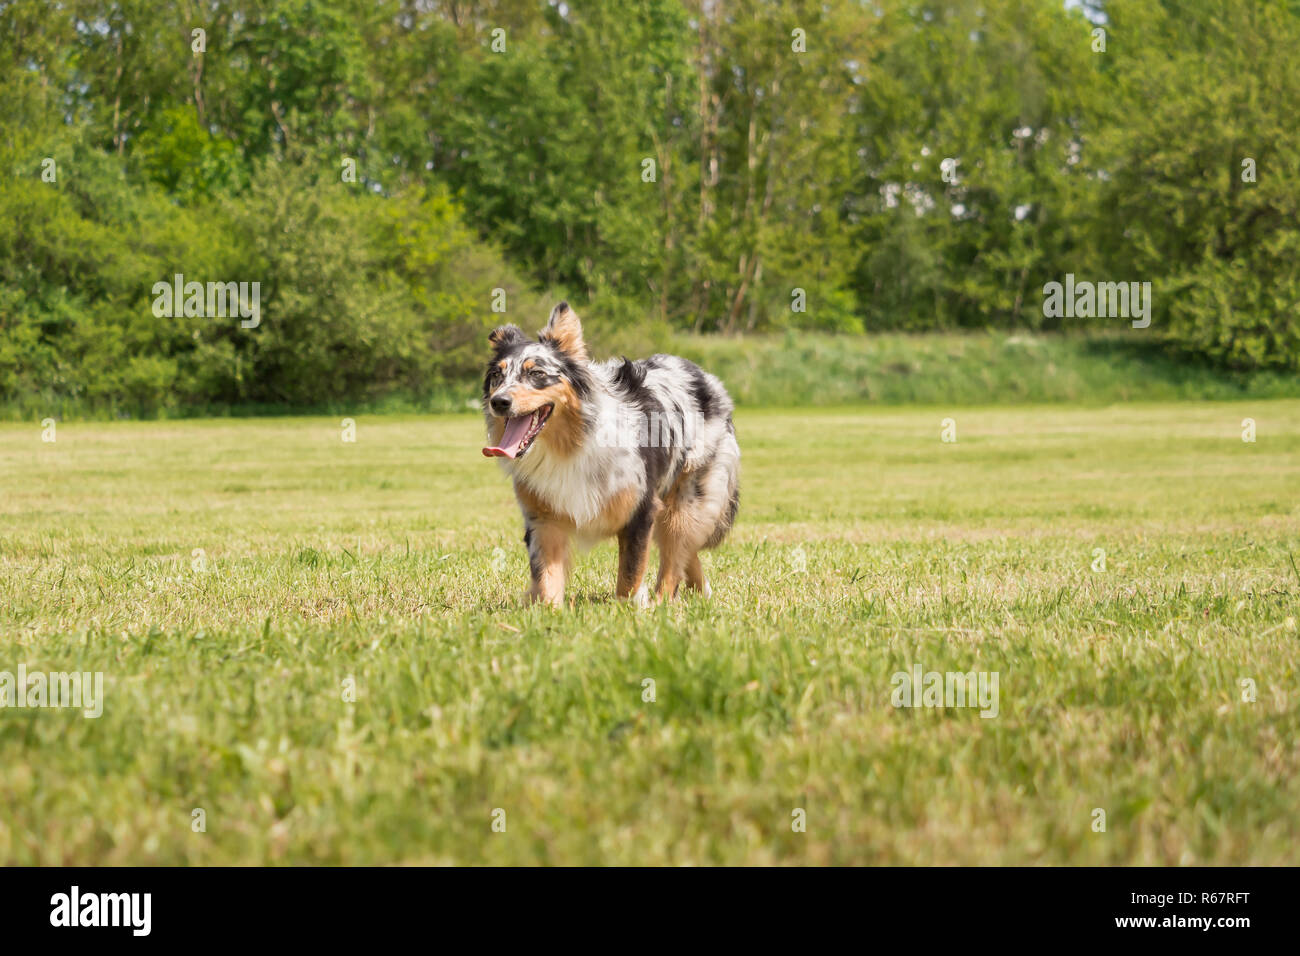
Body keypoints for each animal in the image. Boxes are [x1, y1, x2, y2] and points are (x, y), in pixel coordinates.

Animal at [483, 303, 743, 608]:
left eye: (536, 374)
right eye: (497, 376)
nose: (499, 402)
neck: (572, 444)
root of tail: (708, 378)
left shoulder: (640, 511)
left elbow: (630, 576)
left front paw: (630, 610)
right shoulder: (544, 519)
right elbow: (547, 578)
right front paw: (549, 613)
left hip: (688, 500)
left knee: (675, 556)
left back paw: (663, 604)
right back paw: (701, 592)